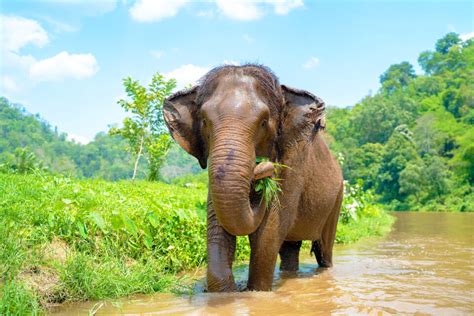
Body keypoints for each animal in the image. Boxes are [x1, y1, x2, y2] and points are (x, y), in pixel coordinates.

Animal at [165, 63, 342, 292]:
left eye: (264, 122)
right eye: (204, 121)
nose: (262, 168)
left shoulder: (294, 162)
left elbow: (268, 232)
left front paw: (255, 292)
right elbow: (218, 227)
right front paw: (227, 292)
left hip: (337, 199)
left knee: (324, 249)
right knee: (290, 248)